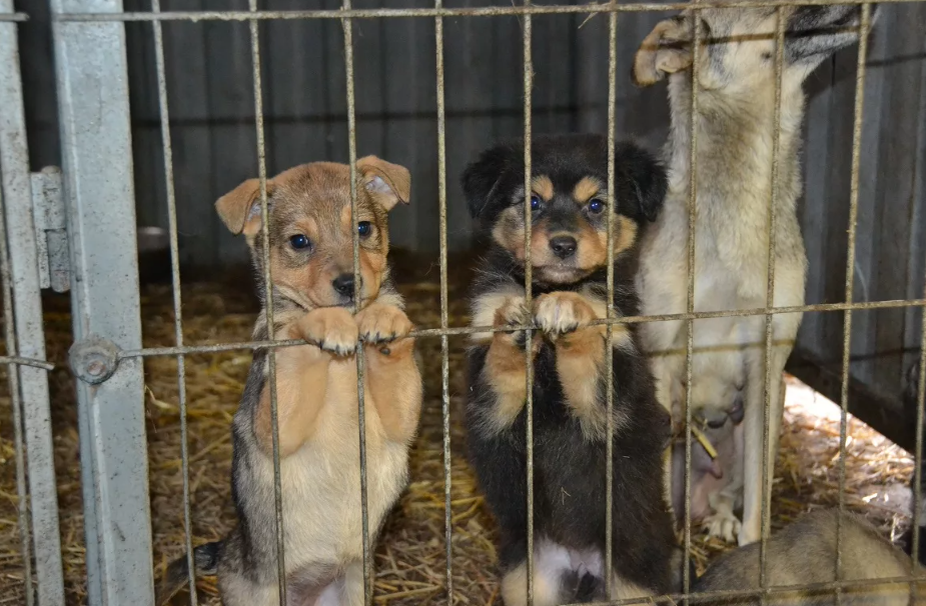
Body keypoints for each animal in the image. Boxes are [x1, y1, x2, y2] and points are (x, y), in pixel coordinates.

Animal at [155, 158, 424, 606]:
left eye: (363, 228)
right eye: (299, 241)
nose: (349, 284)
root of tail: (225, 549)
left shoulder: (399, 422)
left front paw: (385, 317)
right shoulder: (277, 425)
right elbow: (296, 333)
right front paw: (323, 322)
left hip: (353, 587)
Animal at [636, 3, 880, 548]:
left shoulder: (766, 361)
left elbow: (758, 510)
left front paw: (753, 554)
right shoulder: (660, 357)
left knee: (732, 493)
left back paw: (720, 518)